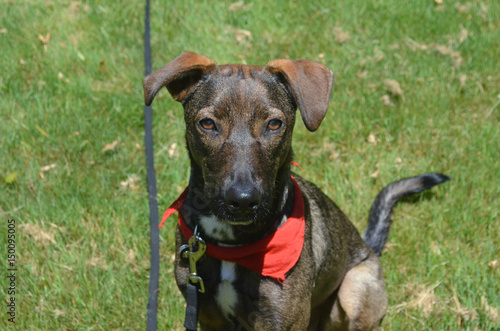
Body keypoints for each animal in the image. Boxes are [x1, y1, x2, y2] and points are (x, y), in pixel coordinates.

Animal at [142, 51, 450, 330]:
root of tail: (369, 247)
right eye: (207, 123)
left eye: (274, 124)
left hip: (354, 290)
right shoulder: (207, 314)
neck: (231, 245)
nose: (242, 201)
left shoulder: (281, 321)